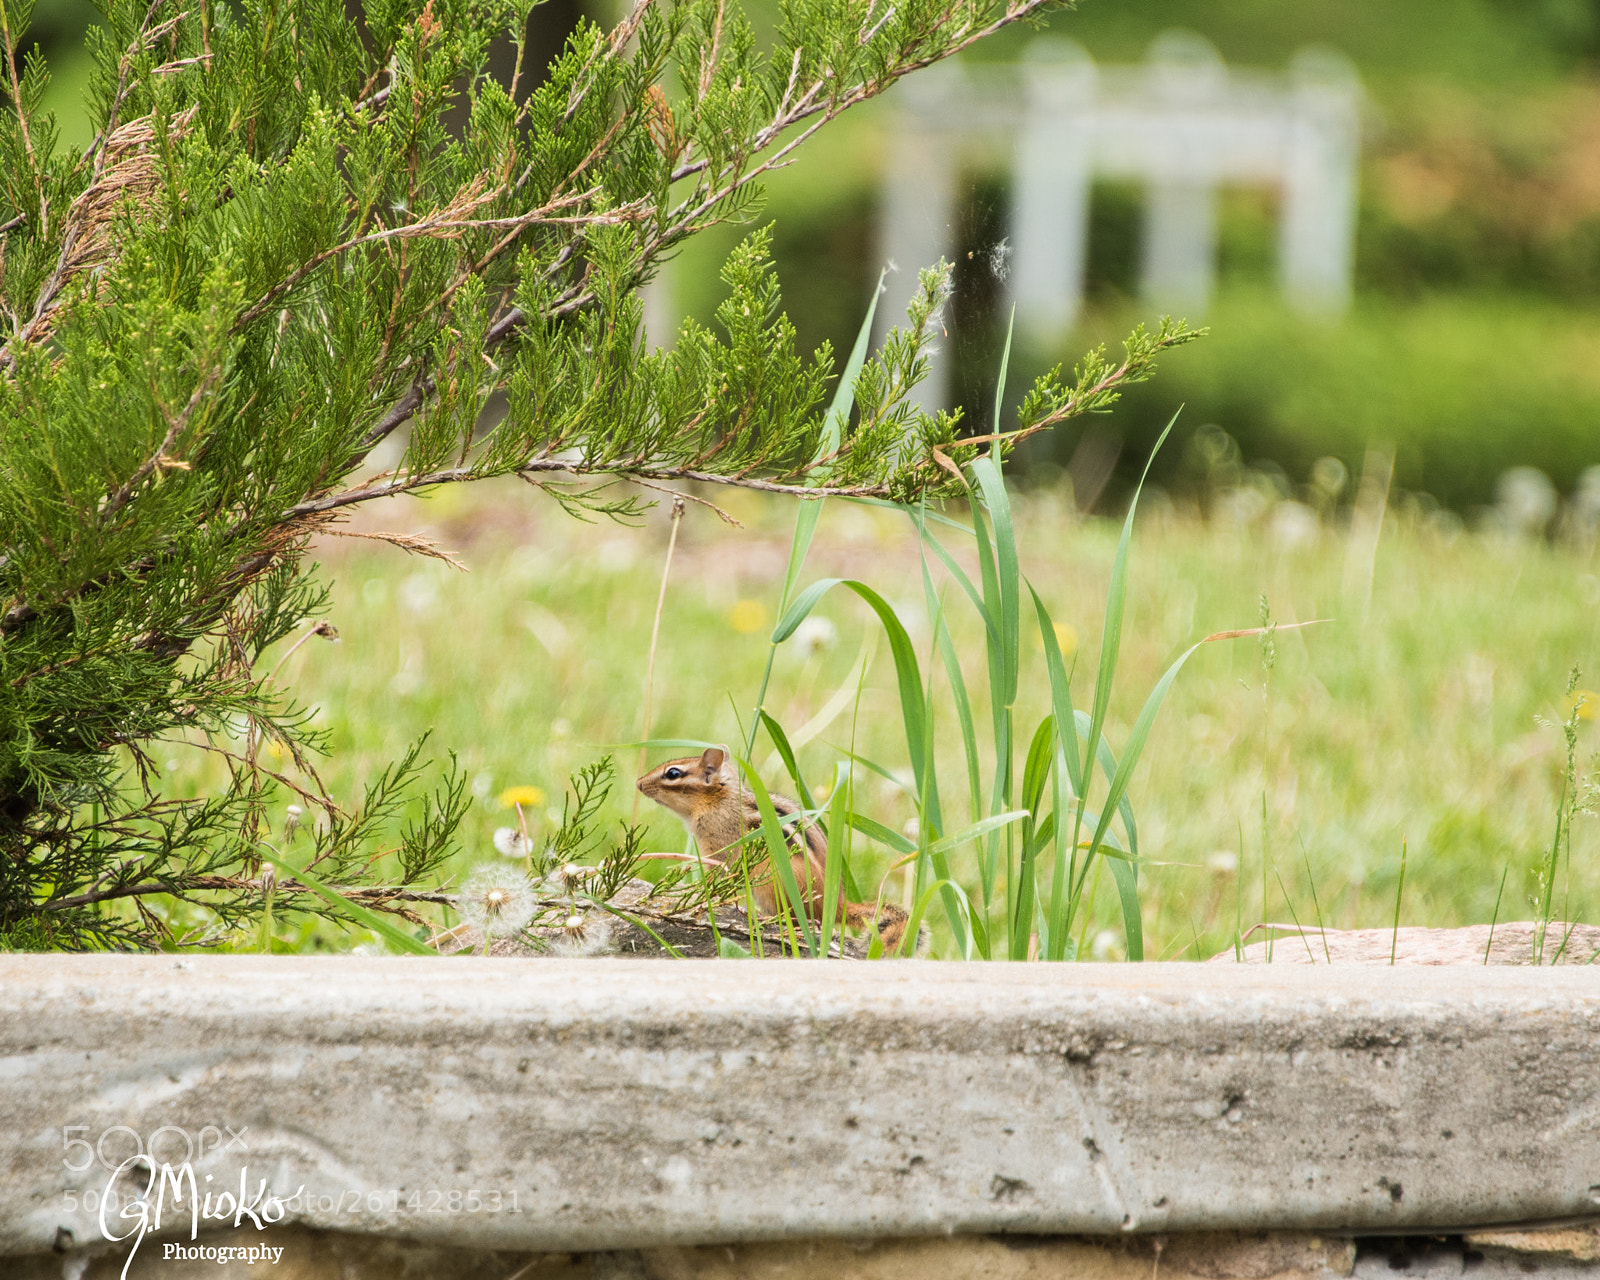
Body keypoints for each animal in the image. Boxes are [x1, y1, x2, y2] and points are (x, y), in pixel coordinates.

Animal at [636, 746, 926, 956]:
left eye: (673, 773)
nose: (638, 784)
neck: (719, 800)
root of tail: (837, 905)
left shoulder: (720, 849)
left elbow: (718, 878)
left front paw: (700, 895)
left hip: (773, 884)